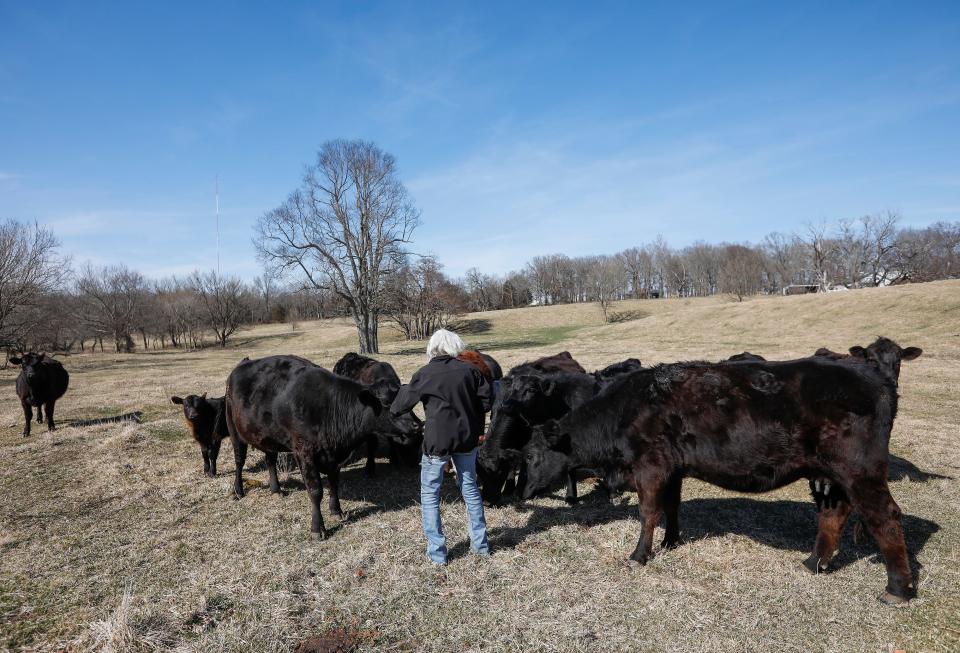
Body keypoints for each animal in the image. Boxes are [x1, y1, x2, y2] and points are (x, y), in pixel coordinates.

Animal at [227, 354, 422, 536]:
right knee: (239, 462)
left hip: (269, 437)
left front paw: (336, 510)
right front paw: (317, 527)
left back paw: (276, 489)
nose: (417, 424)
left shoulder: (334, 456)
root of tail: (242, 364)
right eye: (387, 403)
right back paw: (238, 490)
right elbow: (315, 491)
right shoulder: (304, 452)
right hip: (235, 432)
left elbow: (334, 483)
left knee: (270, 461)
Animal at [524, 342, 924, 608]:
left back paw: (897, 589)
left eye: (531, 455)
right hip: (832, 474)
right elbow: (672, 507)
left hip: (861, 470)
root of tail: (870, 371)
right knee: (833, 513)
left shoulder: (650, 465)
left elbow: (648, 511)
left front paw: (639, 555)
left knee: (885, 517)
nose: (522, 492)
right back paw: (815, 563)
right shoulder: (673, 468)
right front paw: (671, 541)